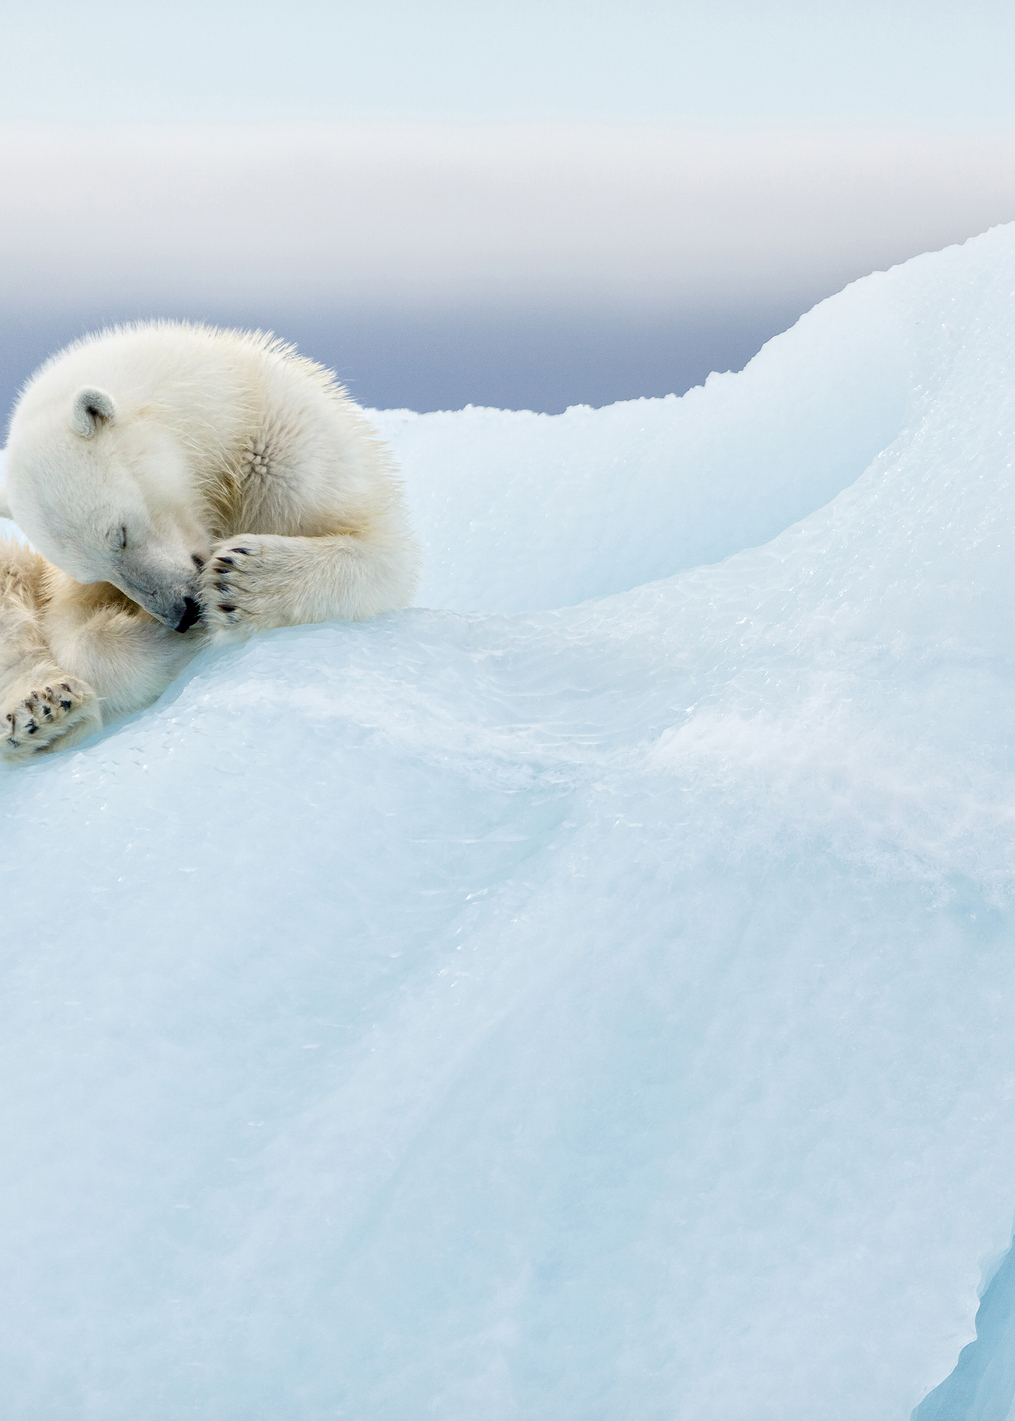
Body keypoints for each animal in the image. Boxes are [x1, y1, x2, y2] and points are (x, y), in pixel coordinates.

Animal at [0, 320, 420, 763]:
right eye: (95, 571)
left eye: (121, 534)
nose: (182, 614)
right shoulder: (62, 585)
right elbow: (74, 635)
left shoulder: (288, 454)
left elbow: (384, 552)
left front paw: (239, 580)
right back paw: (39, 712)